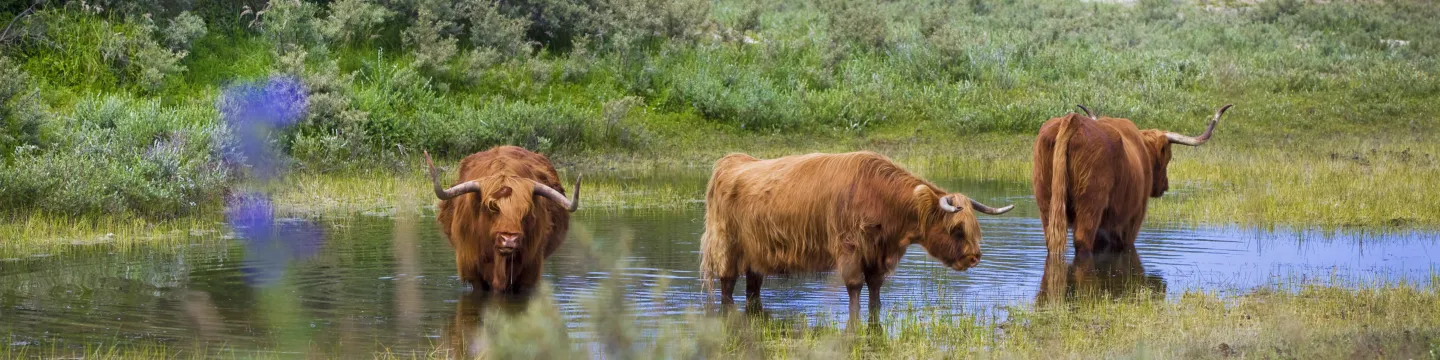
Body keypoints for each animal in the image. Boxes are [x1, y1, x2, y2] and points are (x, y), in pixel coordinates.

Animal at [696, 151, 1013, 315]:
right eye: (957, 229)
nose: (975, 257)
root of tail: (732, 161)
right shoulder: (849, 248)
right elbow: (854, 287)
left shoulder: (877, 255)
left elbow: (875, 290)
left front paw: (875, 309)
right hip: (727, 246)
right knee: (727, 285)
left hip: (757, 255)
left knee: (753, 288)